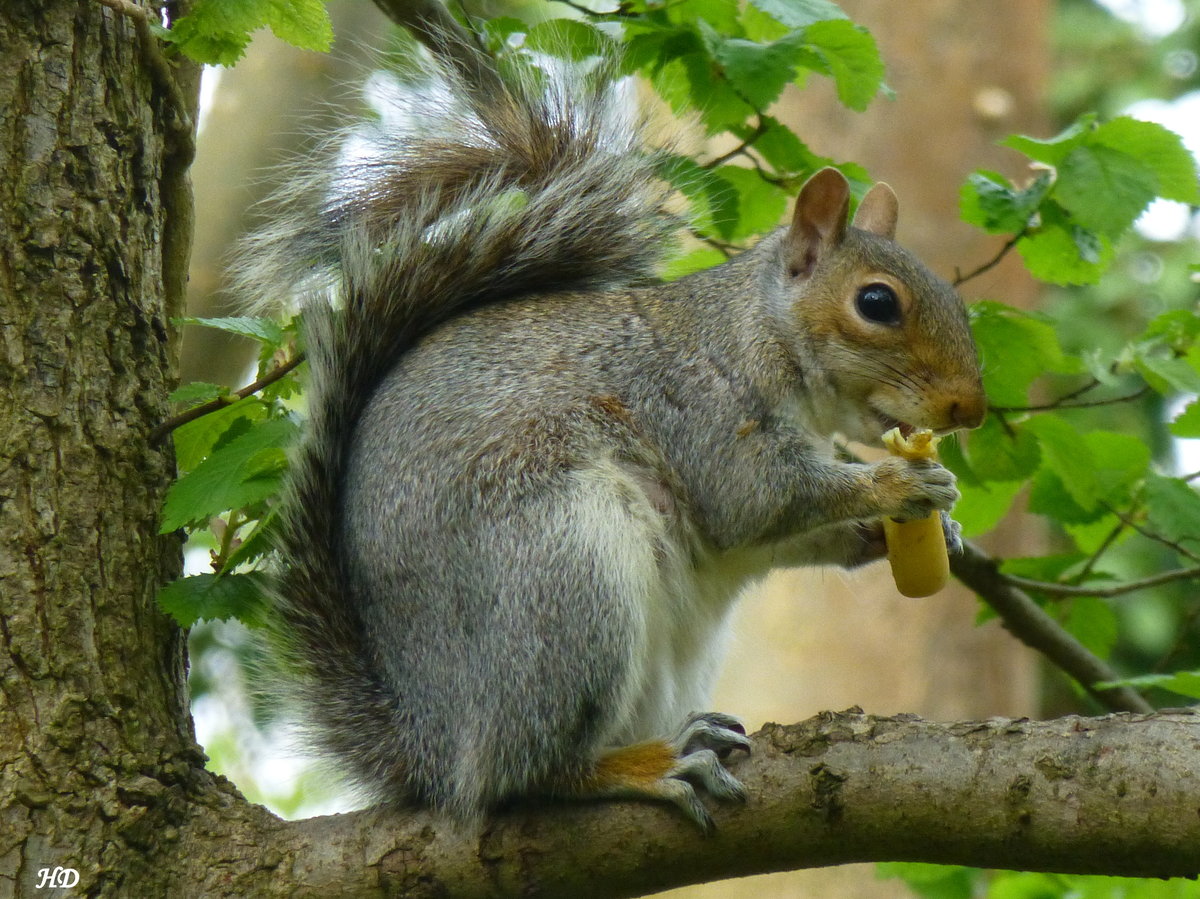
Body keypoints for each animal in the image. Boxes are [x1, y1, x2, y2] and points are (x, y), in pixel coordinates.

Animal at [234, 40, 984, 825]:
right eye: (877, 303)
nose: (970, 408)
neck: (759, 332)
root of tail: (428, 741)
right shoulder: (700, 408)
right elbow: (759, 499)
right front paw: (896, 483)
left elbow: (778, 538)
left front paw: (925, 528)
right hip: (564, 578)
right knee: (524, 773)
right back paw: (648, 766)